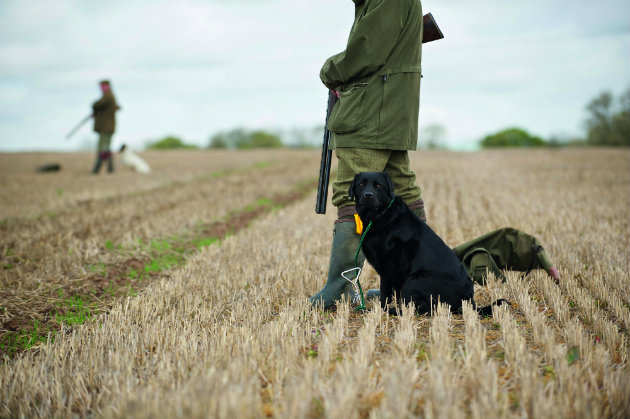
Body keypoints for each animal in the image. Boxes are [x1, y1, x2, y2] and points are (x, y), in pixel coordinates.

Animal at [348, 171, 506, 316]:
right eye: (361, 184)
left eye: (378, 186)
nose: (368, 195)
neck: (380, 216)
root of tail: (468, 301)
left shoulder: (388, 267)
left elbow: (385, 294)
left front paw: (381, 310)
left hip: (414, 280)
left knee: (424, 309)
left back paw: (394, 311)